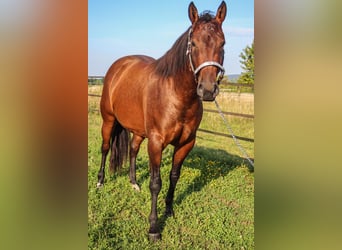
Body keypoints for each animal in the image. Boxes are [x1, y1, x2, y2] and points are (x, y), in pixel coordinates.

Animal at [96, 0, 227, 241]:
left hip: (139, 131)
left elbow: (174, 176)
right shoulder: (156, 143)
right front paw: (154, 227)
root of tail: (119, 66)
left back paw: (133, 183)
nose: (207, 90)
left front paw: (169, 210)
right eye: (193, 43)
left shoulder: (186, 144)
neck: (176, 95)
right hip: (108, 121)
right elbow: (156, 183)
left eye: (222, 43)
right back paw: (100, 181)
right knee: (105, 148)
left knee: (132, 150)